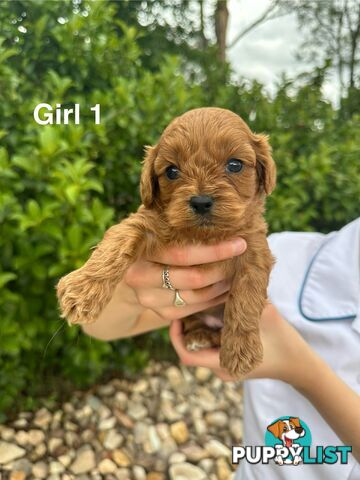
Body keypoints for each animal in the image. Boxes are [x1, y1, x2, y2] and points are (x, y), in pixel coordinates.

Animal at [57, 107, 276, 376]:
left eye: (235, 165)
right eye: (172, 171)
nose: (201, 202)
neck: (204, 236)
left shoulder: (254, 251)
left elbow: (246, 298)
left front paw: (241, 351)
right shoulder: (145, 223)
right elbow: (117, 241)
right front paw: (82, 291)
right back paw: (198, 337)